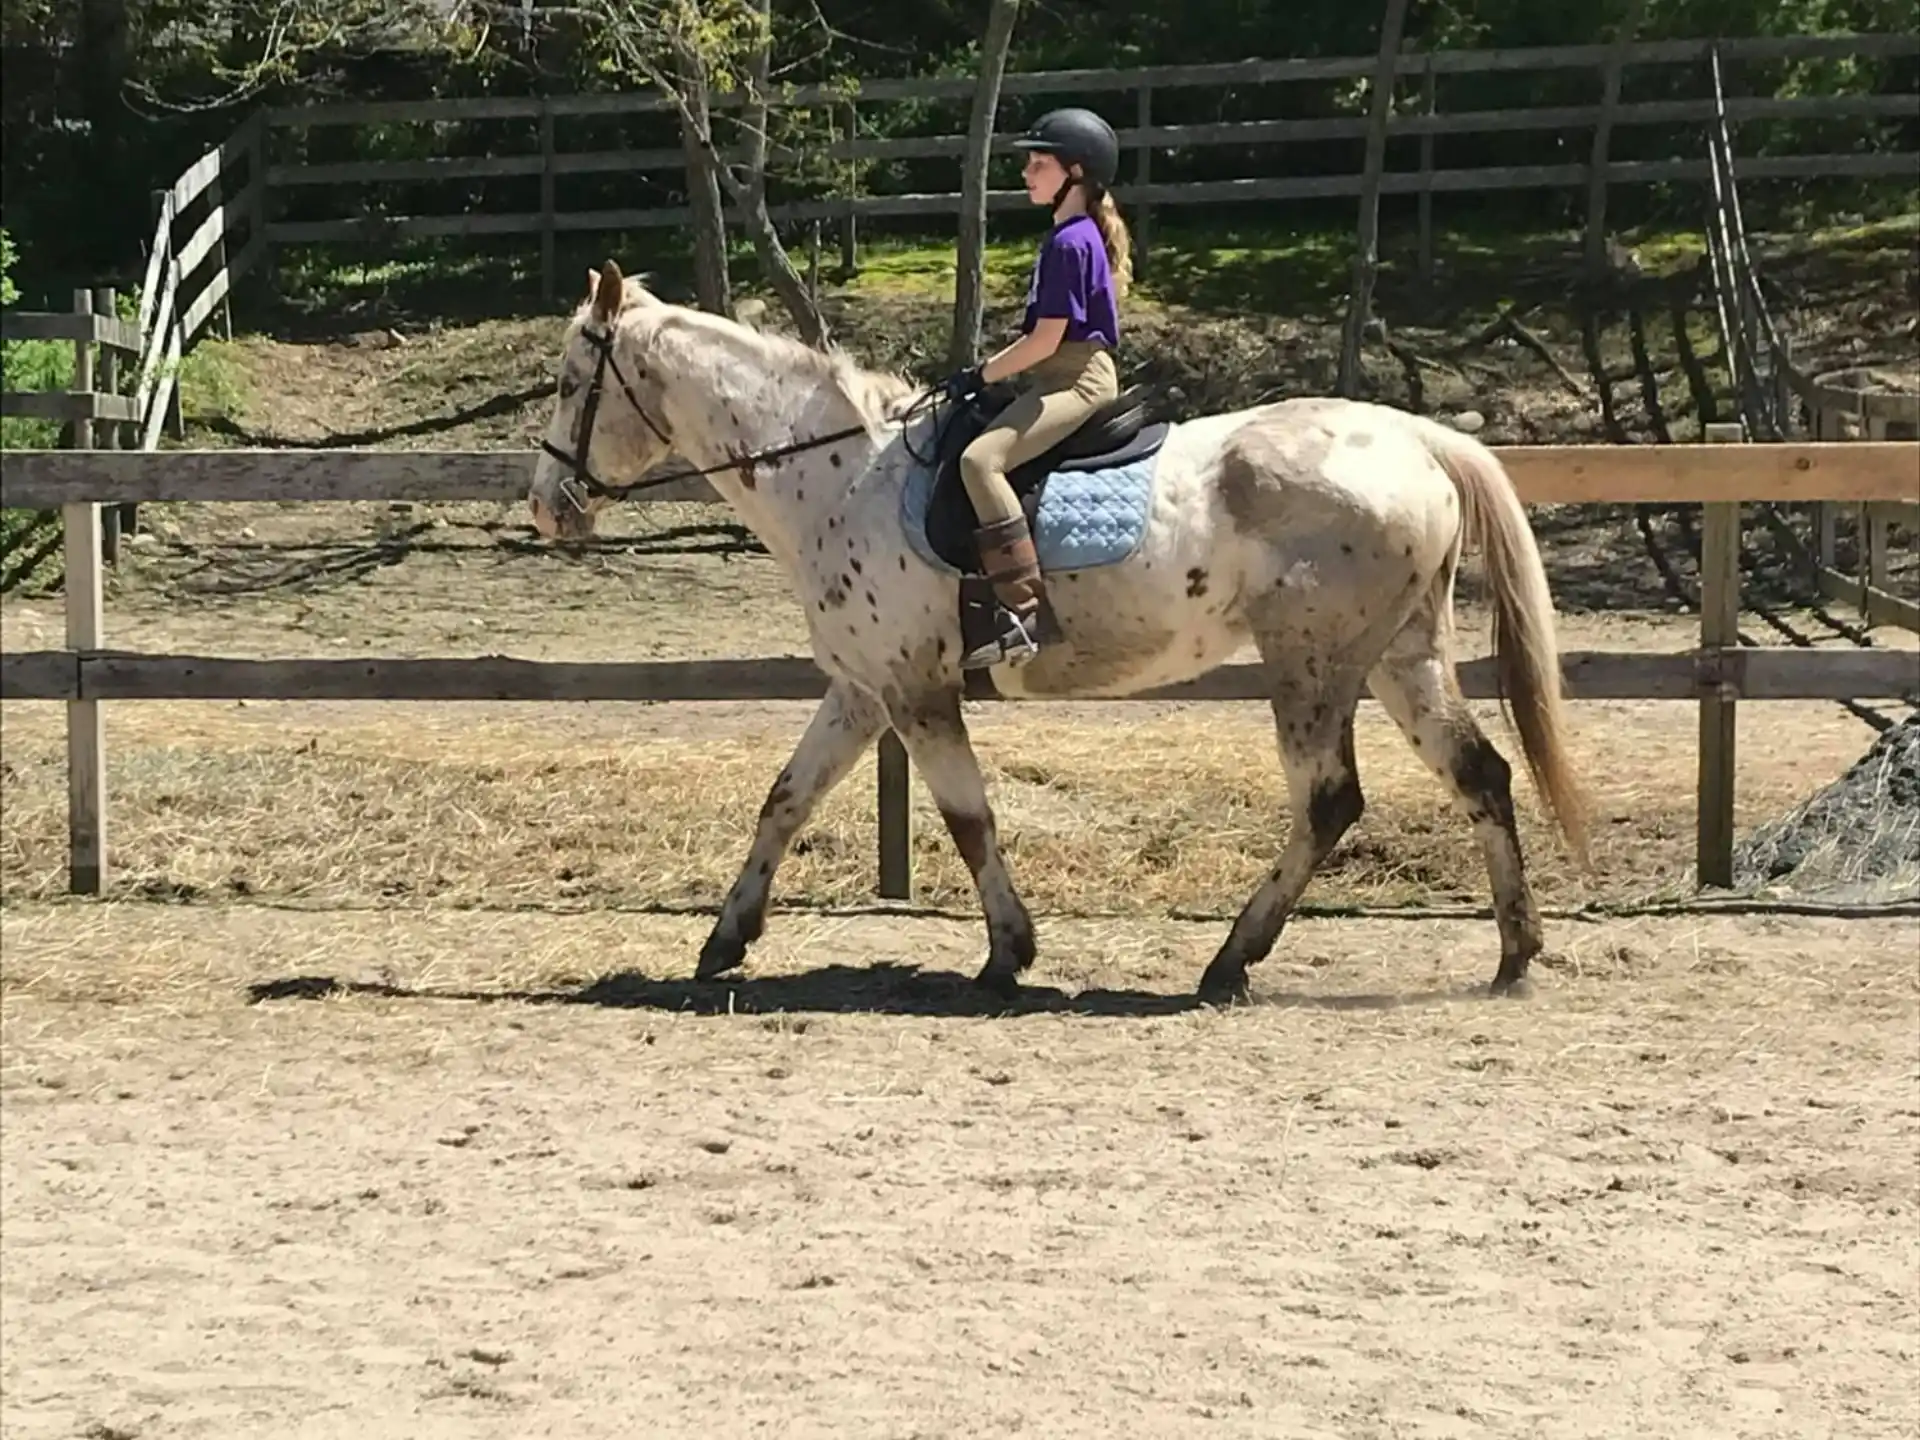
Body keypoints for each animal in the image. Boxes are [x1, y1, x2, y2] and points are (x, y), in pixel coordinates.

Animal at [526, 261, 1590, 1004]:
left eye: (575, 379)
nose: (546, 507)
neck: (839, 476)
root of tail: (1415, 437)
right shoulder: (865, 688)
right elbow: (785, 800)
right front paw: (724, 939)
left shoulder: (916, 692)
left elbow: (968, 819)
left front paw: (1008, 954)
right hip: (1401, 658)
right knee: (1481, 775)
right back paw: (1514, 956)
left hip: (1314, 665)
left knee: (1330, 803)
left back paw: (1230, 962)